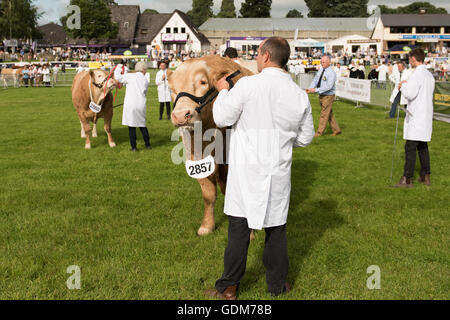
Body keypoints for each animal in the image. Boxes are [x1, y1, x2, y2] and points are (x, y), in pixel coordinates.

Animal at [169, 55, 253, 236]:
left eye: (203, 82)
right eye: (171, 88)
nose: (180, 115)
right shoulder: (197, 163)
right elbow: (209, 196)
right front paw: (207, 226)